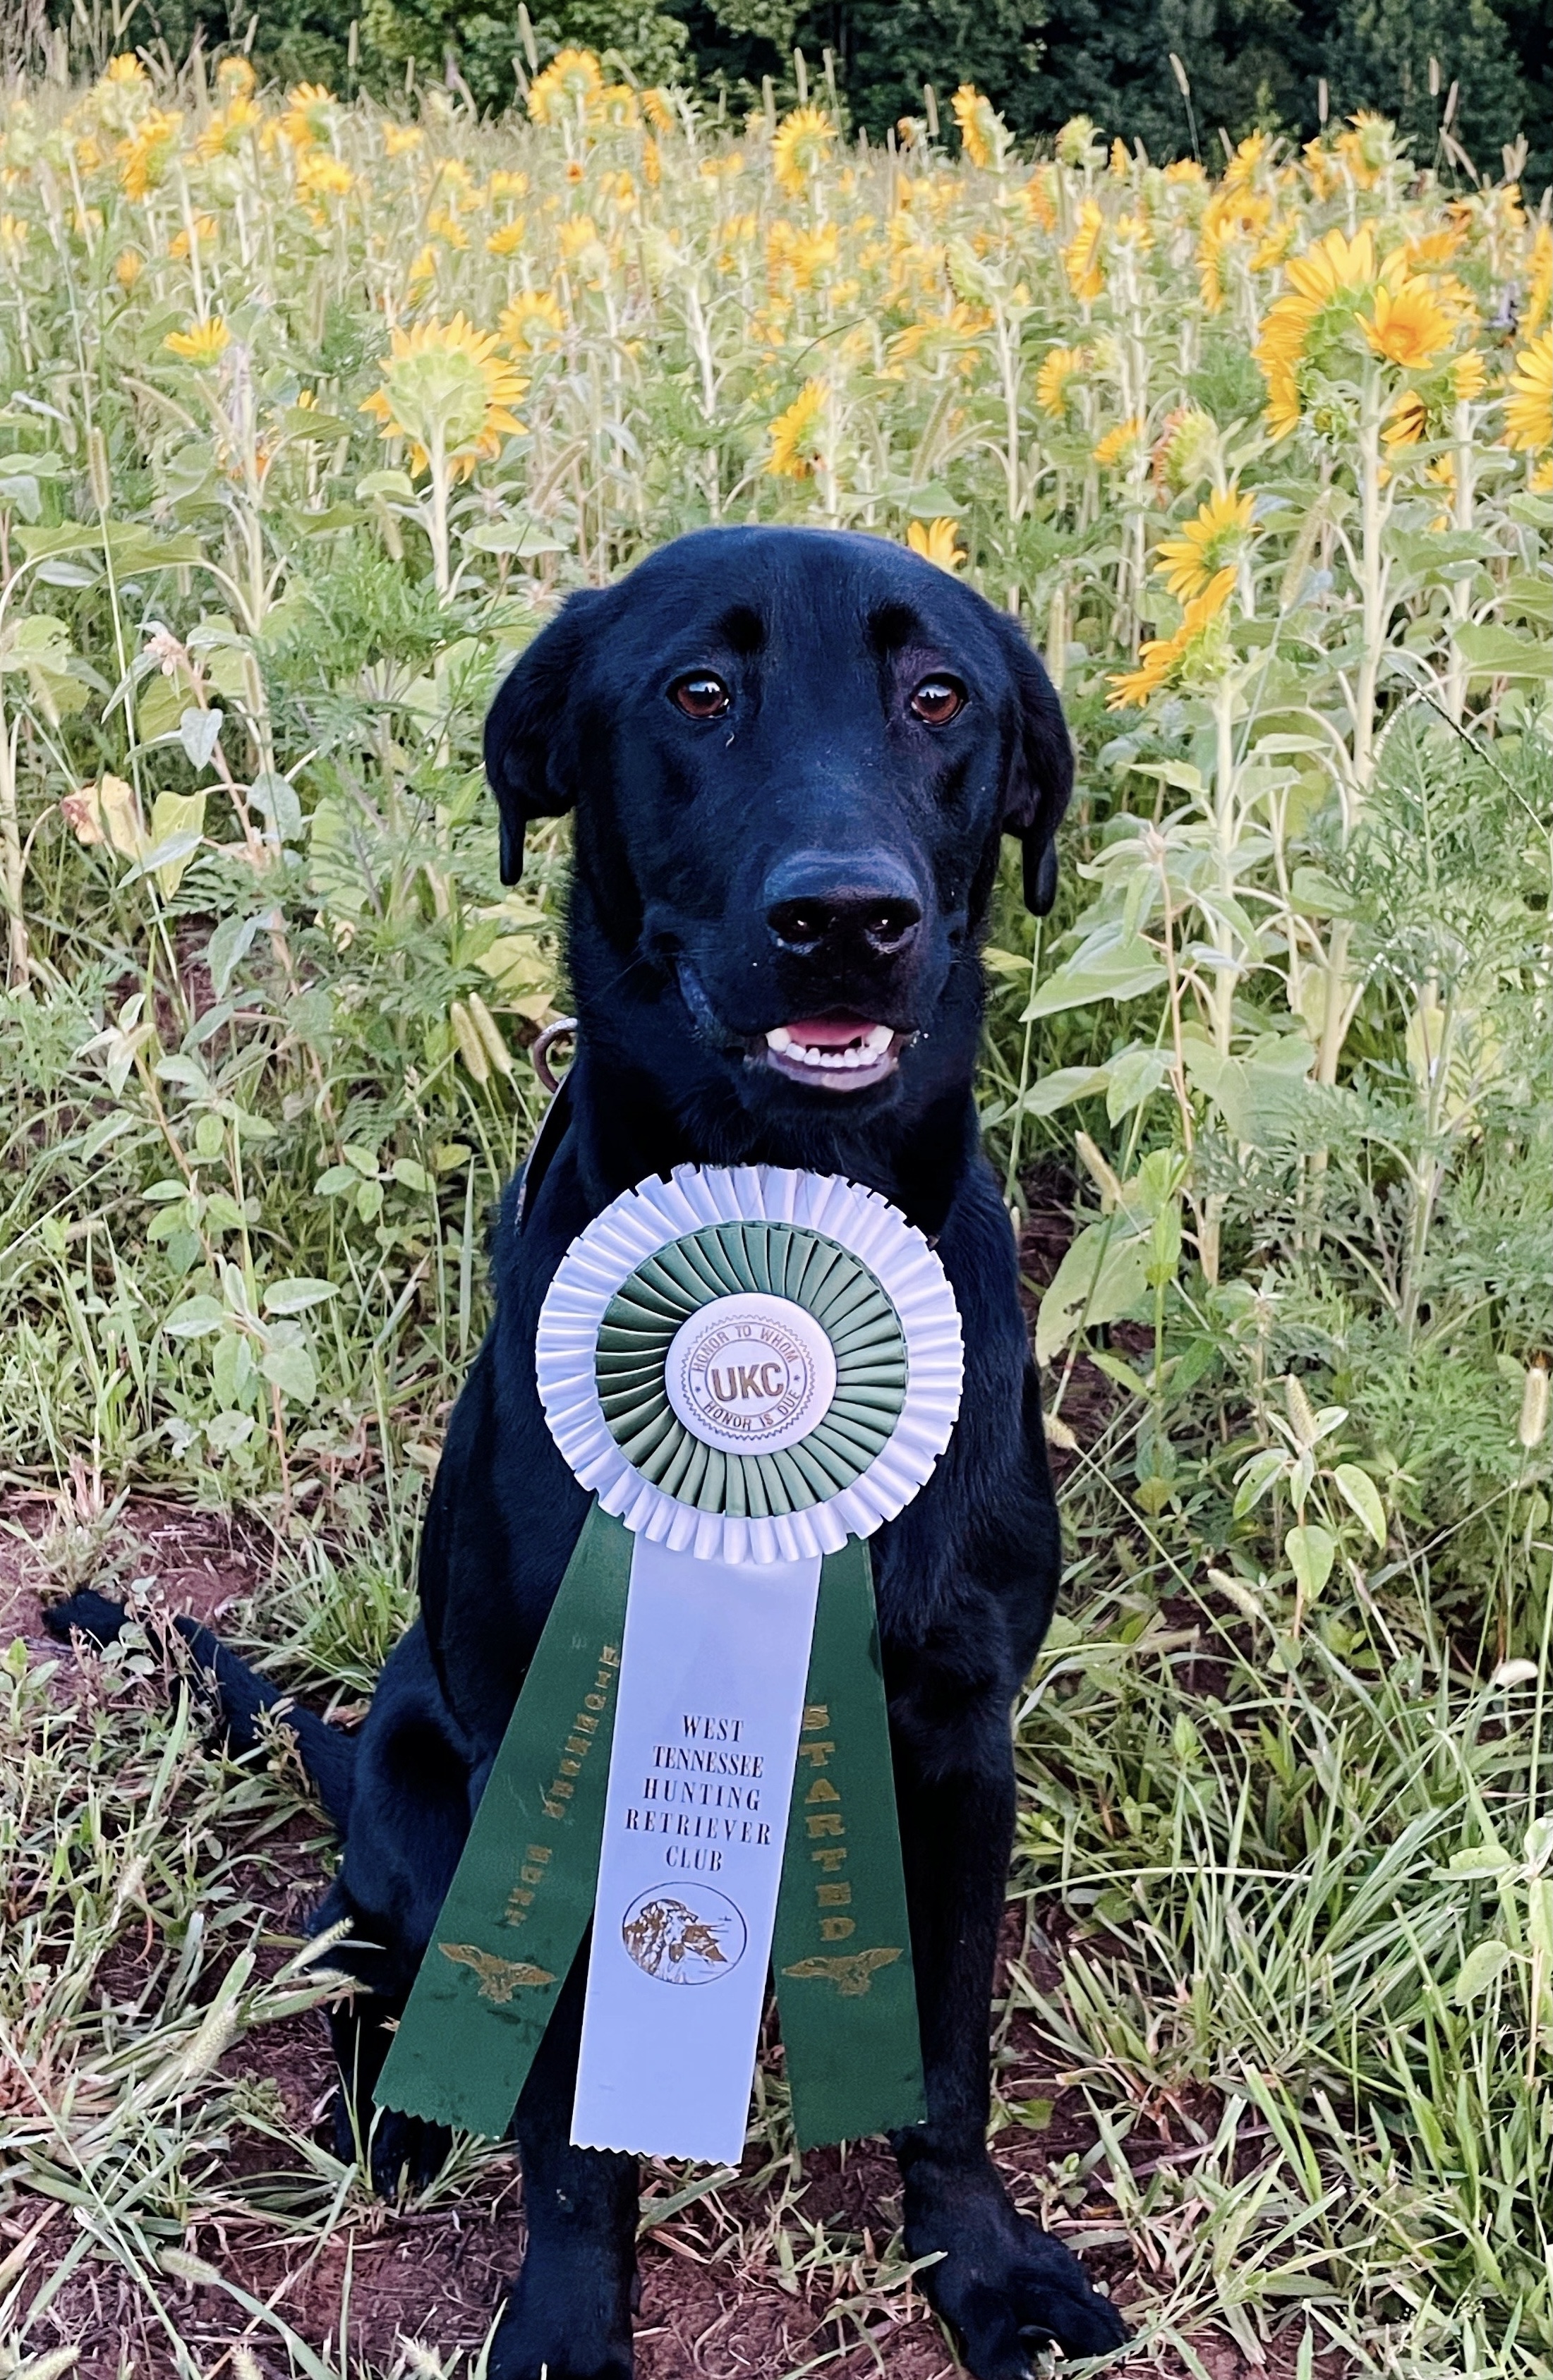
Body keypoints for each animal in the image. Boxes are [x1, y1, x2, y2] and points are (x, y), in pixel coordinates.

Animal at [52, 530, 1129, 2370]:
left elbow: (947, 2059)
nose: (846, 921)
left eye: (938, 699)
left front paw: (980, 2264)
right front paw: (564, 2314)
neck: (782, 1204)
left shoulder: (958, 1744)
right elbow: (565, 2119)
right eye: (698, 691)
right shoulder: (551, 1749)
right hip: (421, 1771)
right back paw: (393, 2108)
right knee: (361, 1944)